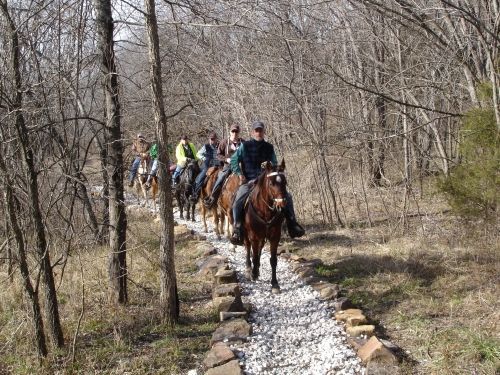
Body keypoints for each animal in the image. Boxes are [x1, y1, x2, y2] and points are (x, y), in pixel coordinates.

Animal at [243, 160, 288, 296]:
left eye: (285, 182)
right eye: (271, 183)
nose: (281, 204)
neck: (265, 211)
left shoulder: (274, 237)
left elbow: (273, 260)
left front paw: (274, 284)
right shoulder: (254, 236)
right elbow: (254, 255)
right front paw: (253, 273)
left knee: (259, 249)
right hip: (247, 234)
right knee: (248, 248)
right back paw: (249, 269)